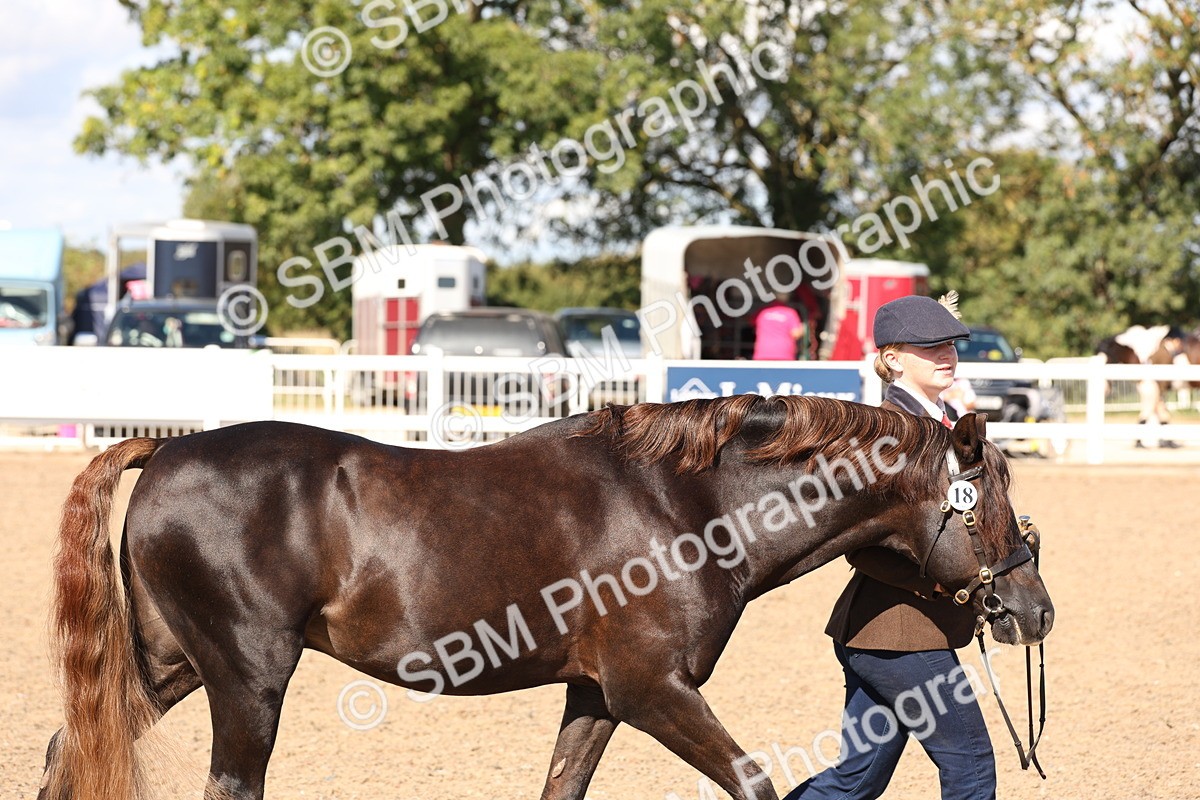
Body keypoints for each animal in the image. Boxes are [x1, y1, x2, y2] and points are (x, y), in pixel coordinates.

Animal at [40, 394, 1054, 800]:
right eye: (989, 500)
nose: (1034, 611)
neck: (685, 503)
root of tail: (167, 451)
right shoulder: (653, 690)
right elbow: (754, 779)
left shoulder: (596, 695)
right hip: (248, 679)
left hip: (173, 665)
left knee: (67, 751)